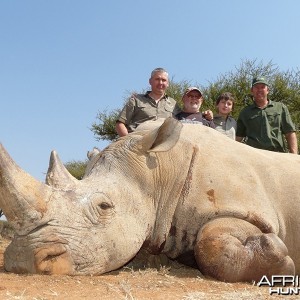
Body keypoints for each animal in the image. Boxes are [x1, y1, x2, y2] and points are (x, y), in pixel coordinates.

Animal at [0, 118, 298, 282]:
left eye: (104, 206)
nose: (22, 261)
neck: (159, 170)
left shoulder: (246, 207)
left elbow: (210, 240)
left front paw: (277, 255)